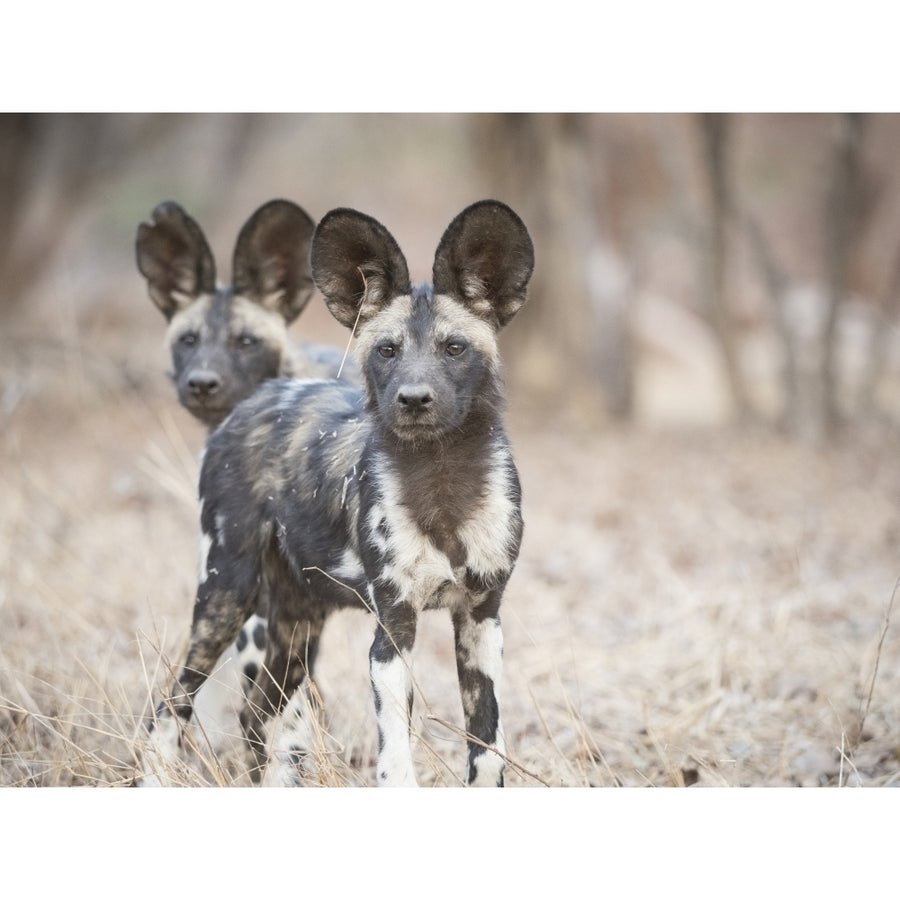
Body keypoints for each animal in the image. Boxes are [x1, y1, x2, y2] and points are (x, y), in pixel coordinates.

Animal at [142, 199, 536, 788]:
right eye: (387, 350)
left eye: (454, 348)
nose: (413, 399)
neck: (442, 482)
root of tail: (258, 396)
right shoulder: (393, 632)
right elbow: (395, 760)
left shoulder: (481, 621)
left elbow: (487, 751)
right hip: (226, 598)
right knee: (172, 705)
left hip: (296, 625)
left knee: (258, 714)